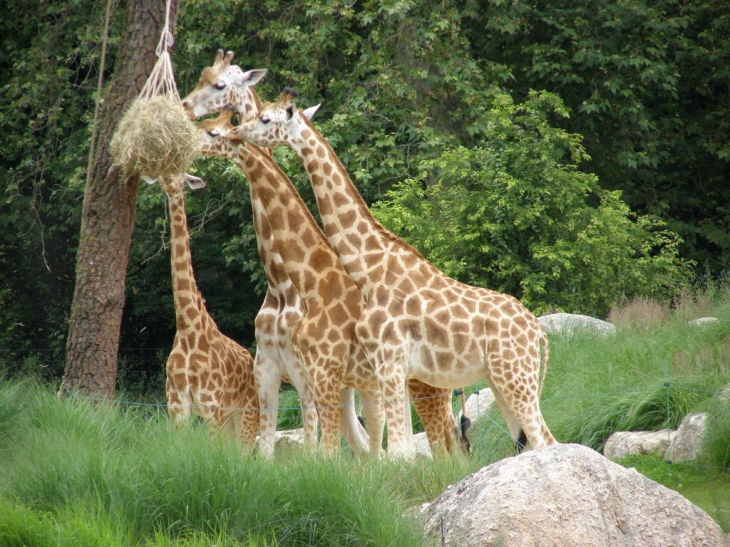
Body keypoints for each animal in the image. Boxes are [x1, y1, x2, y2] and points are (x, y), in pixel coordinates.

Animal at [149, 172, 260, 450]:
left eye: (183, 176)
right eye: (162, 175)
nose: (171, 186)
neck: (188, 328)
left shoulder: (211, 403)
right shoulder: (176, 404)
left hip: (247, 413)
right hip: (229, 417)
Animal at [236, 90, 556, 458]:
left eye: (265, 118)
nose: (236, 133)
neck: (370, 270)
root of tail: (538, 331)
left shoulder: (382, 362)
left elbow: (395, 453)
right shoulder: (391, 369)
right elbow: (397, 453)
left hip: (512, 375)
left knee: (542, 440)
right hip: (496, 378)